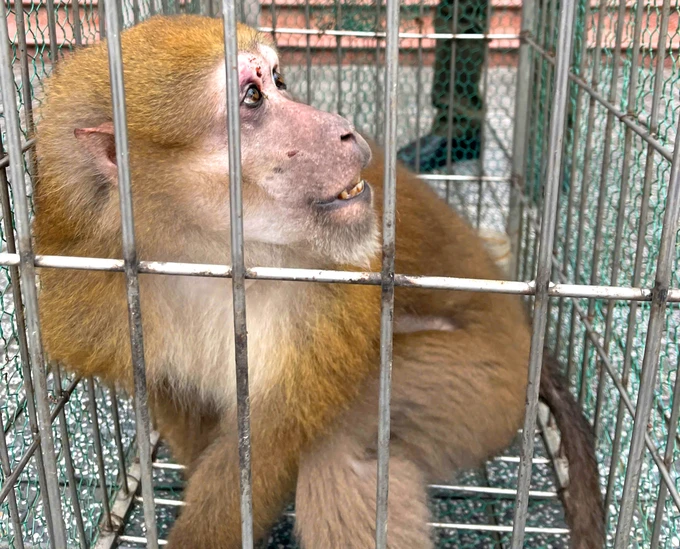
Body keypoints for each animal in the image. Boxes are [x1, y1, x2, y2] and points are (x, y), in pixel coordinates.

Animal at [32, 14, 604, 549]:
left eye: (278, 80)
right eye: (253, 96)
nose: (345, 127)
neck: (203, 256)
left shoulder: (325, 297)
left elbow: (270, 441)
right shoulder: (104, 296)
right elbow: (180, 401)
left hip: (490, 387)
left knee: (338, 449)